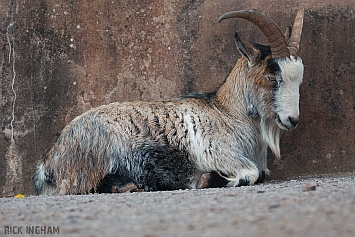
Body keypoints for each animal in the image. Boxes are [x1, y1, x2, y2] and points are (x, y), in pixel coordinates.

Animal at [32, 8, 306, 194]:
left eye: (298, 79)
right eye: (273, 77)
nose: (292, 120)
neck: (227, 113)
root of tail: (50, 160)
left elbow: (260, 174)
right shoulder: (220, 153)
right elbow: (250, 173)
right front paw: (206, 180)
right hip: (91, 162)